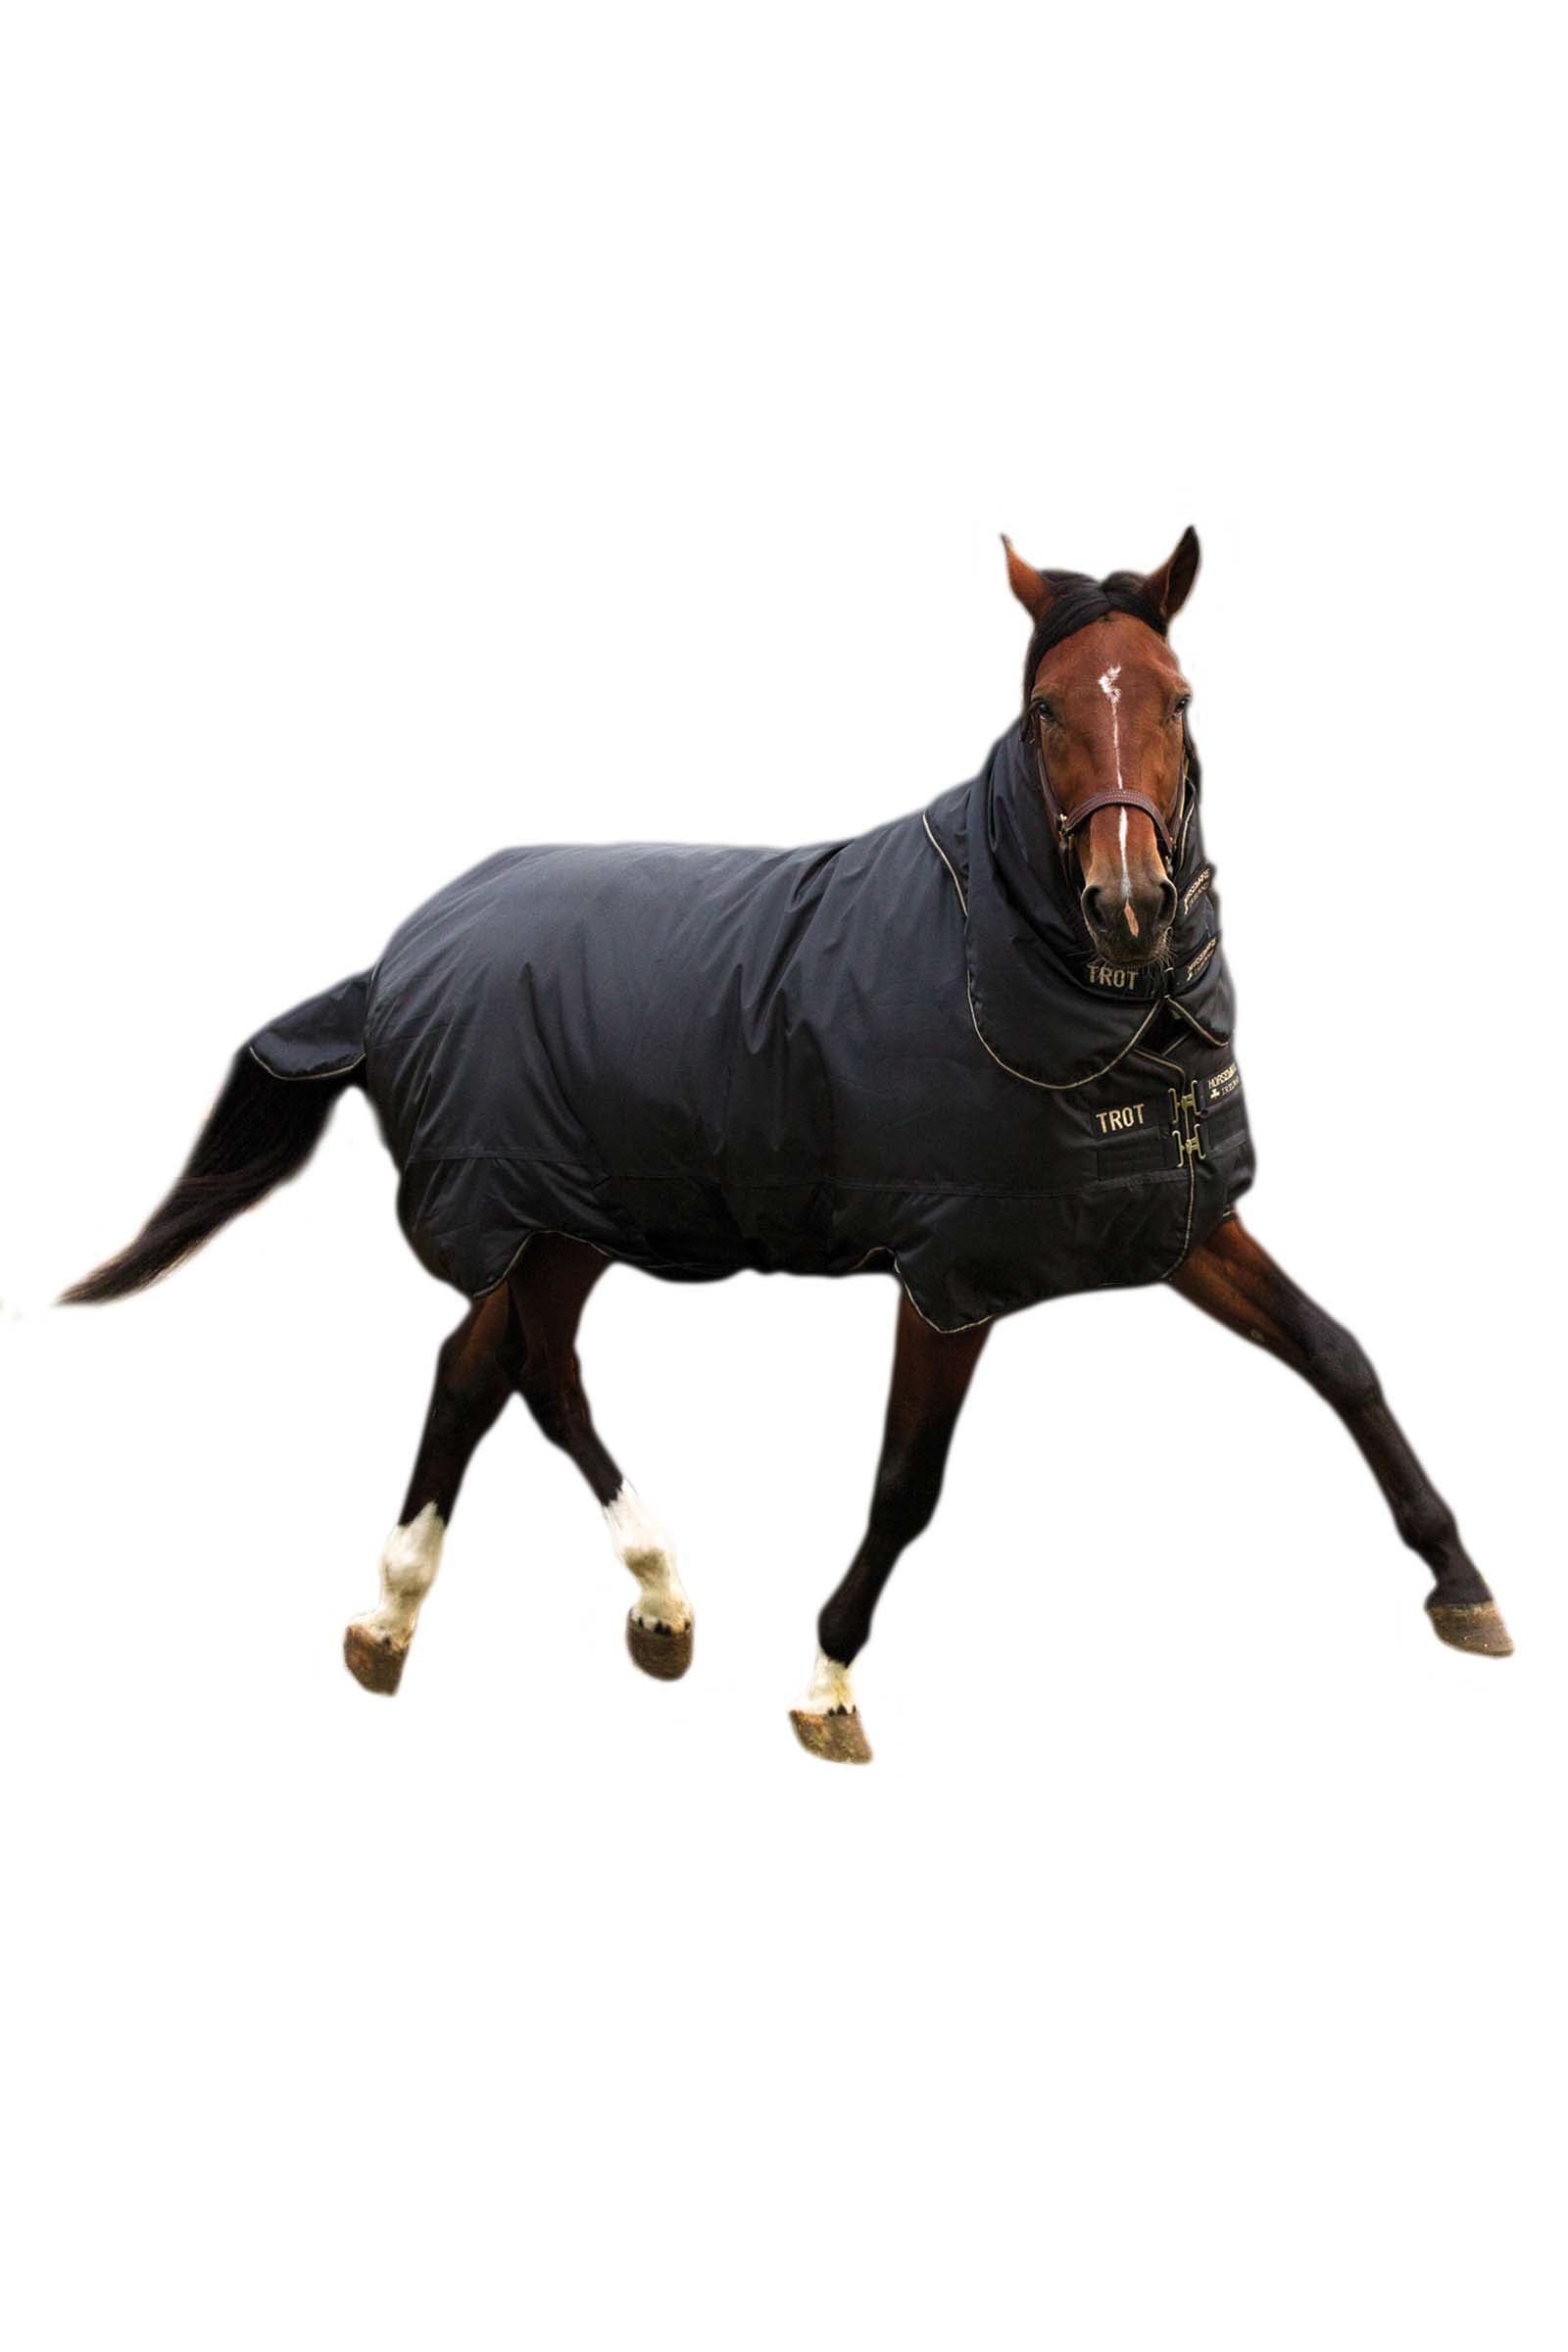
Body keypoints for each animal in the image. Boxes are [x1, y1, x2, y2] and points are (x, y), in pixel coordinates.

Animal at [62, 530, 1512, 1762]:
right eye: (1047, 709)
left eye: (1179, 698)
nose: (1130, 902)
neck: (1029, 969)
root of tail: (391, 965)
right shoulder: (952, 1270)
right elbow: (907, 1483)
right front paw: (828, 1683)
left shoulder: (1179, 1220)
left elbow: (1338, 1358)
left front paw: (1464, 1587)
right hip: (526, 1216)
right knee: (506, 1371)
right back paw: (485, 1603)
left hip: (572, 1222)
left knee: (502, 1370)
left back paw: (553, 1611)